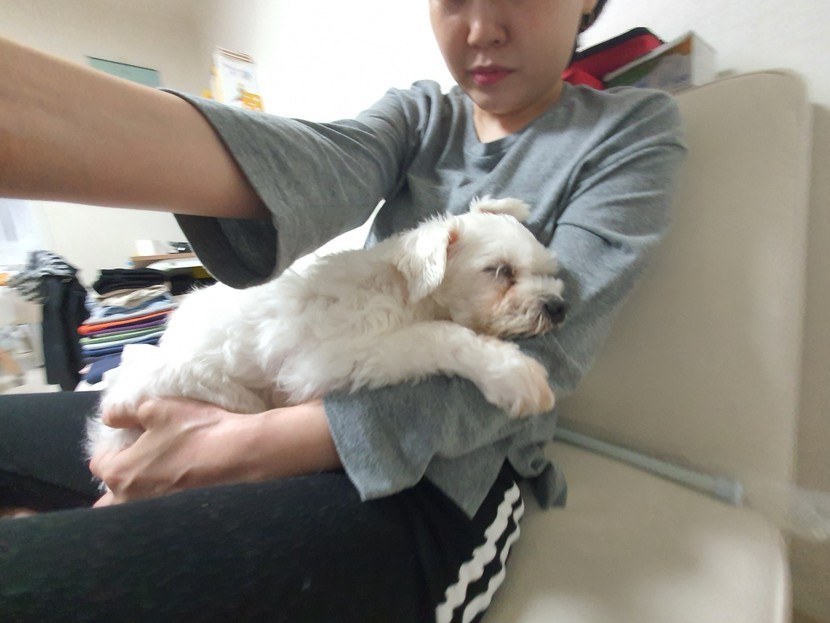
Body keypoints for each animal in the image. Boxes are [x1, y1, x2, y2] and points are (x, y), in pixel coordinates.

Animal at [87, 197, 566, 459]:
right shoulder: (325, 362)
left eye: (548, 271)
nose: (559, 307)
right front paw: (512, 374)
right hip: (215, 388)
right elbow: (437, 336)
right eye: (500, 271)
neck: (402, 290)